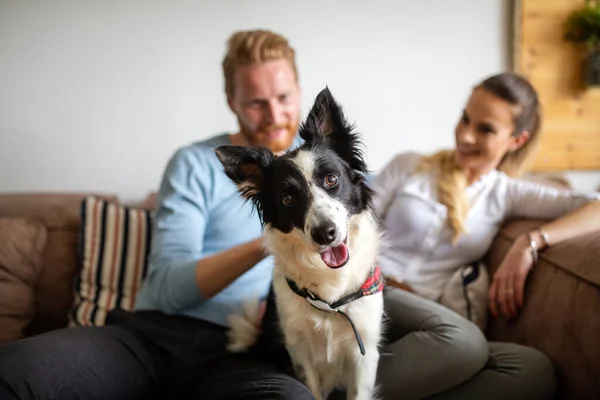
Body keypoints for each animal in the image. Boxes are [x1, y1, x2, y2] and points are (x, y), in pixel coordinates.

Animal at [216, 87, 384, 400]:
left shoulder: (364, 350)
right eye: (287, 199)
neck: (331, 295)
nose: (325, 233)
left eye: (331, 179)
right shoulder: (299, 351)